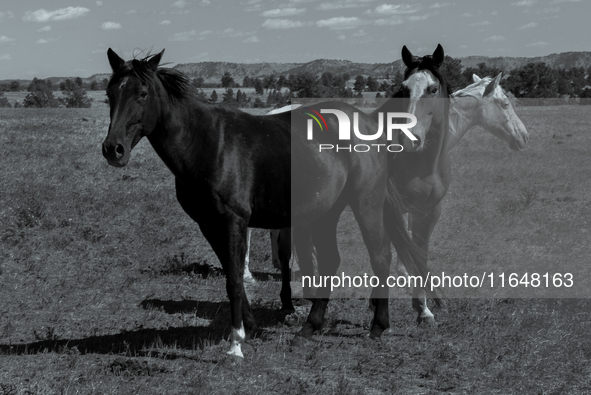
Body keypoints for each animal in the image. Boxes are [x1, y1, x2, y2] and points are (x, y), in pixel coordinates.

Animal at [103, 49, 430, 358]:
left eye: (142, 93)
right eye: (110, 94)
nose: (113, 149)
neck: (208, 144)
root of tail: (369, 123)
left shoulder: (233, 222)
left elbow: (235, 282)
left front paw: (235, 344)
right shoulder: (209, 225)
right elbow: (232, 276)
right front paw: (250, 327)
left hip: (366, 204)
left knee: (381, 257)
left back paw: (378, 327)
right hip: (327, 211)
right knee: (330, 261)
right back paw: (309, 328)